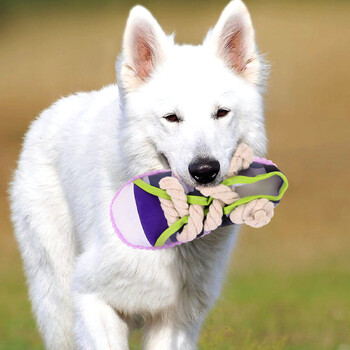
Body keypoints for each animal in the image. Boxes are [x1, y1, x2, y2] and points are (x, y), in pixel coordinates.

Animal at [10, 1, 268, 348]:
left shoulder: (174, 320)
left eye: (222, 113)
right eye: (171, 118)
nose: (204, 170)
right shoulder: (94, 298)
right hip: (57, 302)